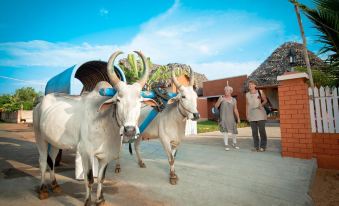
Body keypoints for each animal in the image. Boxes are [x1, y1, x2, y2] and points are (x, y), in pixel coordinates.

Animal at [33, 50, 155, 206]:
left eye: (140, 101)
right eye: (118, 100)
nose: (130, 130)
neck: (107, 126)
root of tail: (40, 103)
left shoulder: (105, 156)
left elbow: (101, 178)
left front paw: (100, 199)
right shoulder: (85, 152)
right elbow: (90, 179)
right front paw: (87, 201)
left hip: (54, 142)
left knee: (52, 160)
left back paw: (55, 185)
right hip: (40, 138)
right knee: (43, 161)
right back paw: (43, 190)